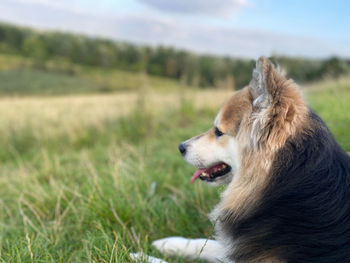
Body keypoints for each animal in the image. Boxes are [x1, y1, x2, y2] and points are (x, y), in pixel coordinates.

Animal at [131, 56, 350, 262]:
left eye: (218, 131)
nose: (181, 147)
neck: (289, 183)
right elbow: (207, 244)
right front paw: (168, 243)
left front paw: (140, 256)